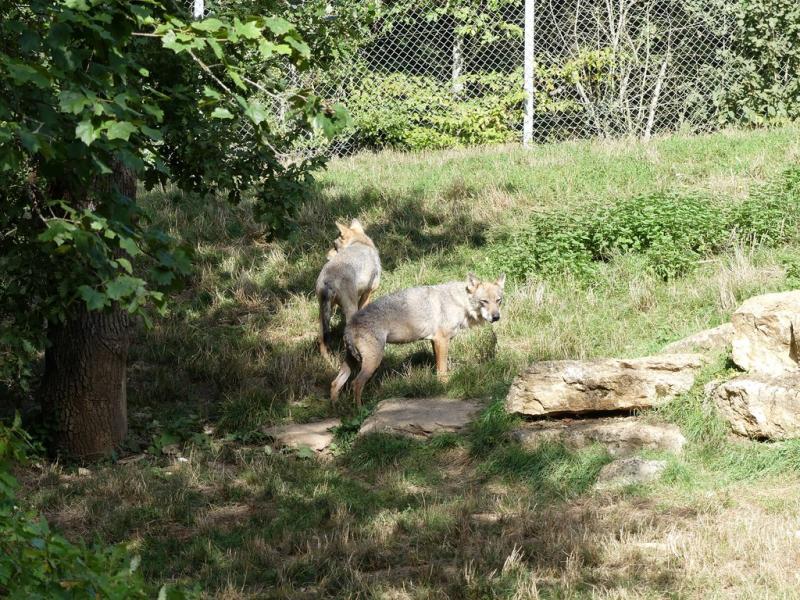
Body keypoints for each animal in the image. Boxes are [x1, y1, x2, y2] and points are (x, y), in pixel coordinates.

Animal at [316, 219, 381, 360]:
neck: (362, 243)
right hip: (350, 309)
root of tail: (328, 280)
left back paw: (327, 360)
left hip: (323, 312)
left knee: (322, 338)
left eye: (334, 246)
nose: (326, 256)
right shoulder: (367, 294)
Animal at [330, 273, 506, 406]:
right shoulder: (442, 340)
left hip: (351, 363)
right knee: (356, 384)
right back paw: (360, 410)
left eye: (498, 300)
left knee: (335, 383)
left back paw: (335, 406)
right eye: (484, 301)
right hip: (373, 362)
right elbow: (442, 371)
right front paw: (445, 387)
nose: (496, 317)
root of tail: (349, 325)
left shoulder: (435, 341)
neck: (460, 302)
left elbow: (438, 367)